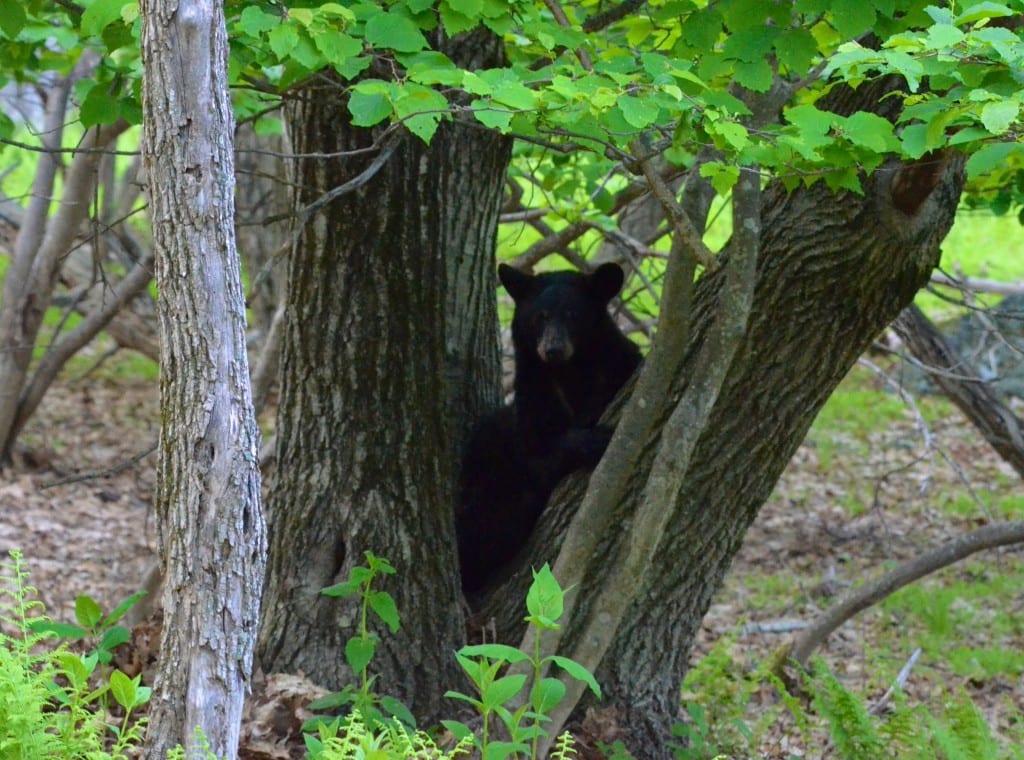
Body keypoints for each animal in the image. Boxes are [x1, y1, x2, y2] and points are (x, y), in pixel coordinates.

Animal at [456, 264, 638, 598]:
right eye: (539, 316)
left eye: (573, 314)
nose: (553, 349)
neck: (567, 373)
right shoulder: (532, 400)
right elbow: (537, 458)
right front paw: (594, 439)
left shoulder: (618, 367)